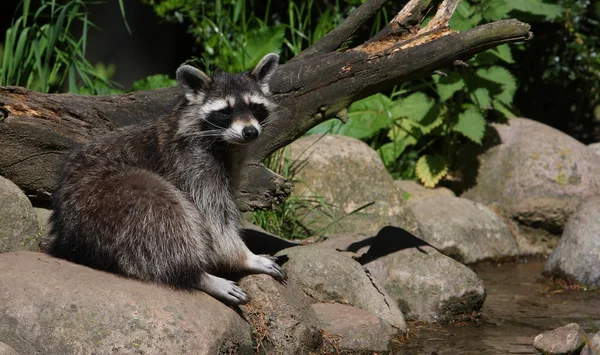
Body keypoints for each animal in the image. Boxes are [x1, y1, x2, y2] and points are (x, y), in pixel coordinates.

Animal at [47, 52, 286, 306]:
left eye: (254, 107)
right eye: (225, 111)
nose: (250, 132)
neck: (225, 143)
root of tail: (68, 226)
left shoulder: (228, 166)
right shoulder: (192, 164)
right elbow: (214, 219)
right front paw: (245, 257)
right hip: (105, 196)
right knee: (163, 211)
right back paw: (196, 274)